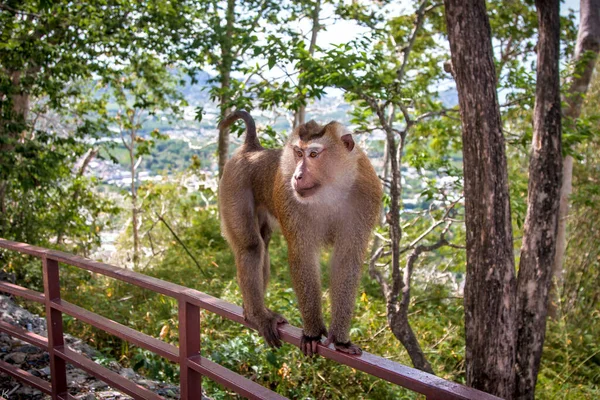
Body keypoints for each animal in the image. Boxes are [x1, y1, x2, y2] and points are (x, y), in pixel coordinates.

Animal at [218, 109, 382, 356]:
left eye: (313, 154)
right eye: (297, 153)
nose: (297, 176)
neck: (331, 188)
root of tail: (252, 149)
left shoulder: (366, 196)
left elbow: (346, 260)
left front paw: (340, 339)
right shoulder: (290, 199)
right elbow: (302, 255)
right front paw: (313, 333)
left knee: (263, 243)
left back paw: (249, 311)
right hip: (233, 184)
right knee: (251, 246)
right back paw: (258, 316)